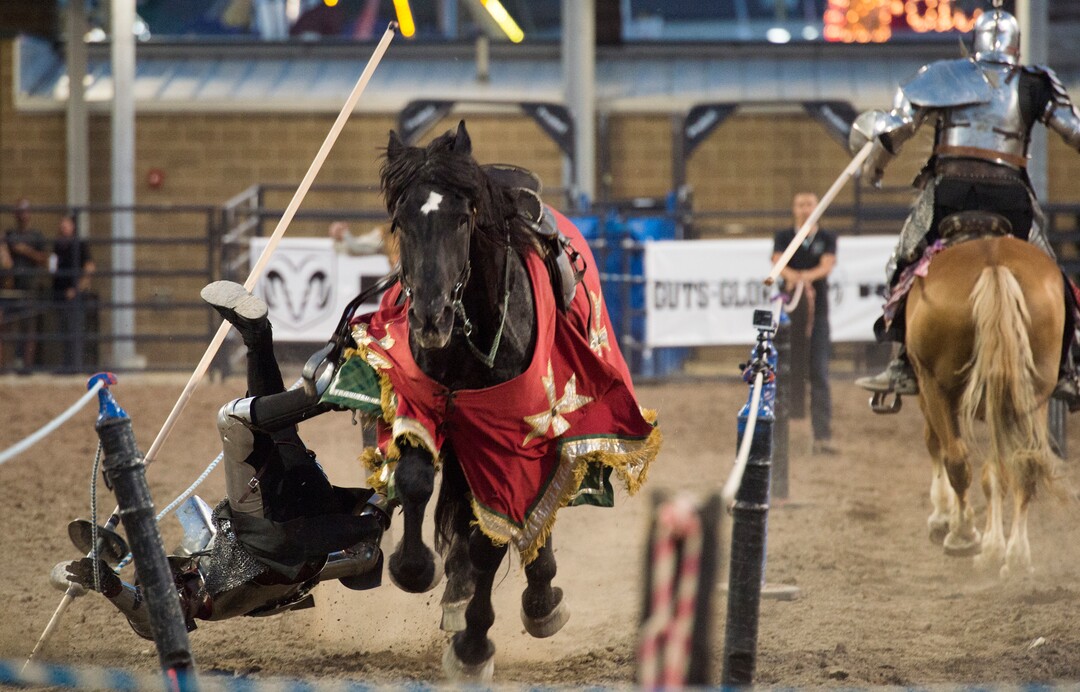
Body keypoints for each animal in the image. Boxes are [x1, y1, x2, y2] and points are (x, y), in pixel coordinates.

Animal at [343, 121, 659, 680]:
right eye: (400, 221)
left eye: (463, 218)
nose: (429, 317)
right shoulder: (424, 407)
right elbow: (416, 481)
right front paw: (415, 567)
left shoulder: (513, 438)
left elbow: (492, 537)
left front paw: (473, 645)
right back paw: (458, 585)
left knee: (537, 507)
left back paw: (539, 597)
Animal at [904, 212, 1064, 577]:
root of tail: (994, 265)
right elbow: (996, 475)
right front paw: (993, 548)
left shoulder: (927, 385)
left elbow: (938, 445)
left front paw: (944, 520)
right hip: (1032, 394)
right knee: (1024, 466)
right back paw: (1016, 557)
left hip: (936, 386)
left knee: (957, 458)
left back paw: (962, 536)